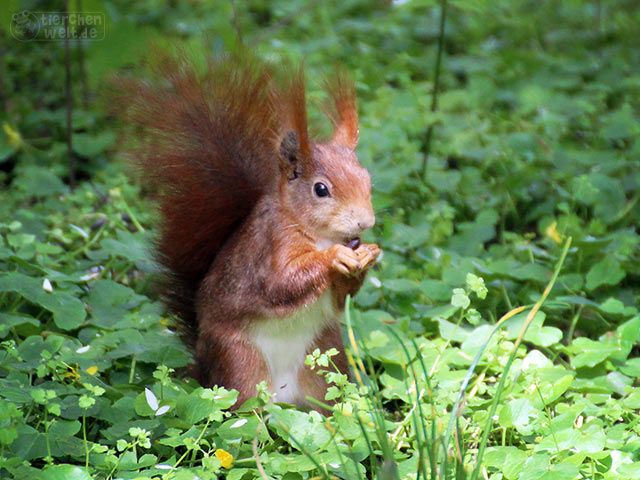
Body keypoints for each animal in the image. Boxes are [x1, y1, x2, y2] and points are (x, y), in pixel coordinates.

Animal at [115, 51, 378, 404]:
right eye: (321, 189)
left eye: (367, 180)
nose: (366, 222)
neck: (319, 234)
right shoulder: (270, 245)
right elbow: (281, 283)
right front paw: (335, 258)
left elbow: (340, 298)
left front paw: (367, 256)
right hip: (239, 360)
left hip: (326, 356)